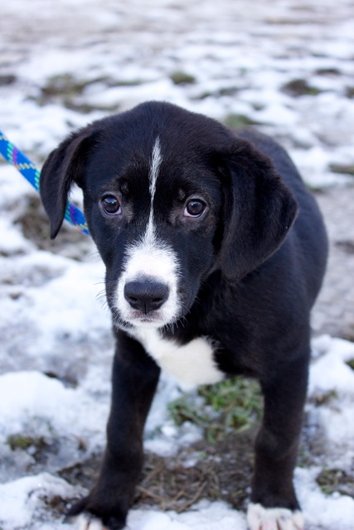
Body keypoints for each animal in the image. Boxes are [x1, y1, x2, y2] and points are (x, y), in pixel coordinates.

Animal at [40, 100, 328, 528]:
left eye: (195, 207)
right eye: (110, 202)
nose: (144, 296)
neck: (205, 294)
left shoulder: (289, 360)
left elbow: (278, 437)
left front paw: (274, 504)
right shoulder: (132, 355)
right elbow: (121, 433)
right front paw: (103, 505)